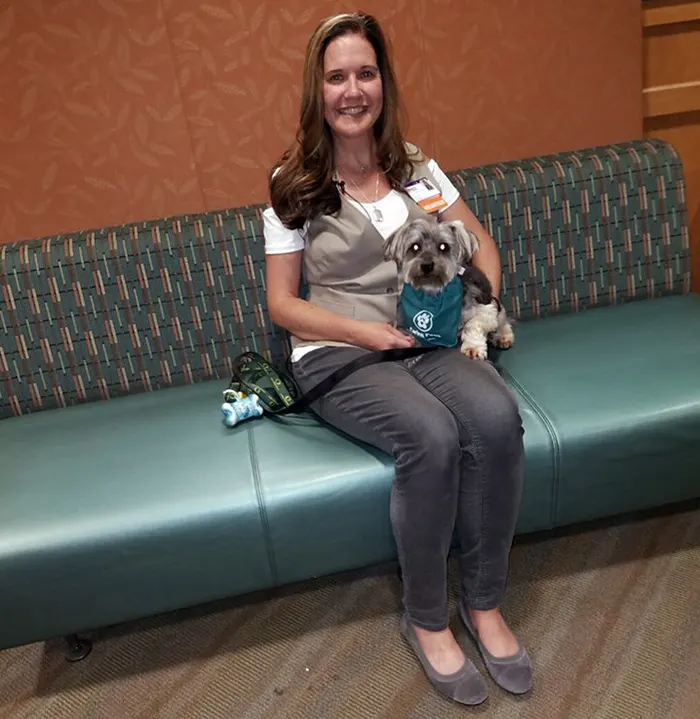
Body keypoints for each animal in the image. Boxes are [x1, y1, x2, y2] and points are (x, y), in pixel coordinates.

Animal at [382, 215, 516, 358]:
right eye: (415, 247)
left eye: (443, 246)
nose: (427, 265)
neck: (434, 292)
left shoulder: (486, 311)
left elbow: (472, 324)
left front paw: (473, 347)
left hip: (494, 305)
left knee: (503, 321)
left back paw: (503, 336)